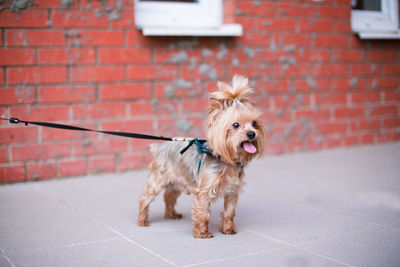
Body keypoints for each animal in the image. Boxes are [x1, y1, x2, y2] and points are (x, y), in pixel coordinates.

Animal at [138, 75, 266, 239]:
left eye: (254, 123)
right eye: (236, 125)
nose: (252, 134)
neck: (226, 160)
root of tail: (159, 147)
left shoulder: (232, 191)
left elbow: (229, 212)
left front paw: (228, 229)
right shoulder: (203, 192)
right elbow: (203, 213)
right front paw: (202, 233)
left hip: (177, 181)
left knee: (169, 196)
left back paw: (171, 214)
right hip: (157, 180)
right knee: (144, 198)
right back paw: (142, 220)